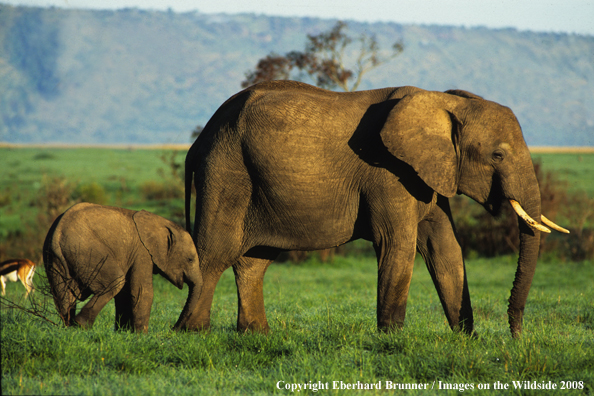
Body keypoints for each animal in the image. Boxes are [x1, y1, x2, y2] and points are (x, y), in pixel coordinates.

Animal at [42, 203, 202, 332]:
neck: (161, 223)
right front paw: (141, 336)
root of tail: (57, 233)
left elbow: (125, 293)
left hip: (54, 258)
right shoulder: (142, 252)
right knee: (116, 281)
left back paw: (70, 328)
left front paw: (123, 332)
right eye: (190, 259)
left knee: (63, 295)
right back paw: (81, 325)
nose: (173, 329)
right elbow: (142, 291)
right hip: (86, 252)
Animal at [179, 80, 564, 338]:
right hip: (227, 170)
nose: (516, 337)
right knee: (215, 252)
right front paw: (392, 340)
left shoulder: (427, 174)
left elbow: (446, 248)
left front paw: (466, 340)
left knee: (254, 261)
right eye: (497, 155)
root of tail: (198, 141)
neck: (444, 101)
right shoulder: (388, 172)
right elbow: (398, 244)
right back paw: (192, 331)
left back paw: (256, 334)